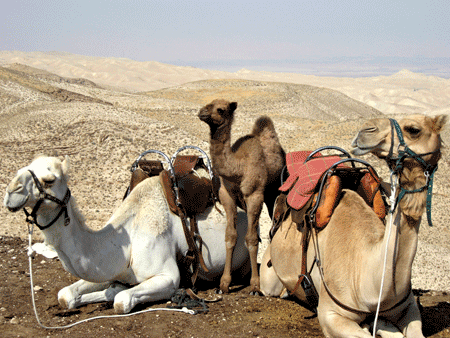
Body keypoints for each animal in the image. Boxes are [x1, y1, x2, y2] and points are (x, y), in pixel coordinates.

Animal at [3, 154, 250, 312]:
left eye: (49, 180)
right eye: (23, 169)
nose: (11, 192)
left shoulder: (168, 276)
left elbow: (121, 300)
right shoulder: (112, 269)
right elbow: (65, 295)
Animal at [260, 115, 446, 336]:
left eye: (414, 129)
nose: (365, 131)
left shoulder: (408, 307)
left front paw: (380, 324)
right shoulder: (330, 313)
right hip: (269, 277)